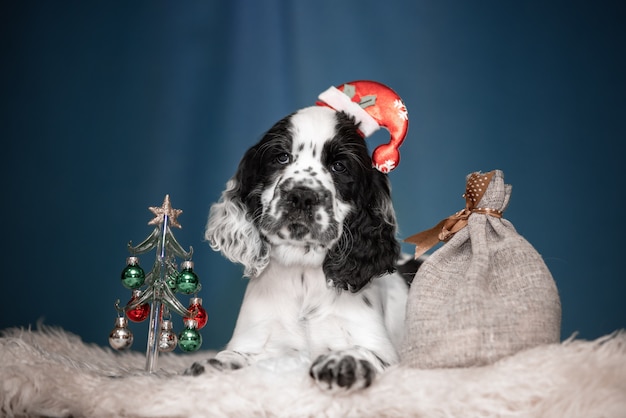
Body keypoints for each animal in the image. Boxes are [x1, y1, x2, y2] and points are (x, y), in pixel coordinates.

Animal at [185, 105, 410, 392]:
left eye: (339, 166)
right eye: (281, 157)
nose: (302, 196)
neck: (302, 271)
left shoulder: (382, 350)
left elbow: (365, 351)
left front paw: (344, 360)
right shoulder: (257, 338)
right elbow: (236, 355)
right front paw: (212, 365)